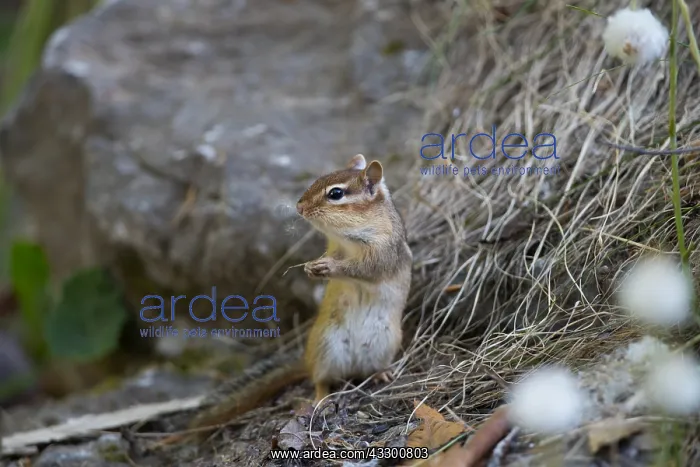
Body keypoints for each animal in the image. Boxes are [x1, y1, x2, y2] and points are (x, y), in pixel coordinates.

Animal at [188, 153, 412, 431]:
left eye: (335, 193)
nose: (299, 207)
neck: (348, 239)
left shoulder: (383, 253)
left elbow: (364, 269)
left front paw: (330, 267)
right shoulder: (335, 247)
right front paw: (310, 267)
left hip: (385, 343)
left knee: (370, 368)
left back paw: (382, 373)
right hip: (326, 347)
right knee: (320, 380)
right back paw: (321, 398)